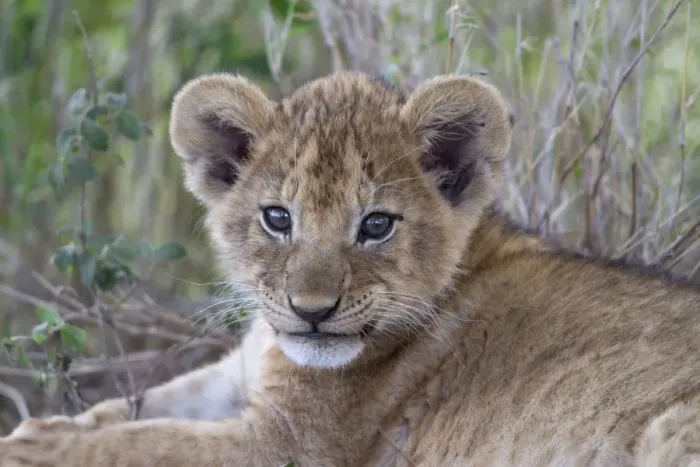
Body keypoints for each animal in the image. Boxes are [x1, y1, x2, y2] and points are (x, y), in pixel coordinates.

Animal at [2, 71, 700, 467]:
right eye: (277, 218)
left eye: (377, 225)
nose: (312, 313)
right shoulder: (237, 375)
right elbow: (134, 408)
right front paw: (45, 426)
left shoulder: (288, 447)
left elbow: (147, 443)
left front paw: (35, 446)